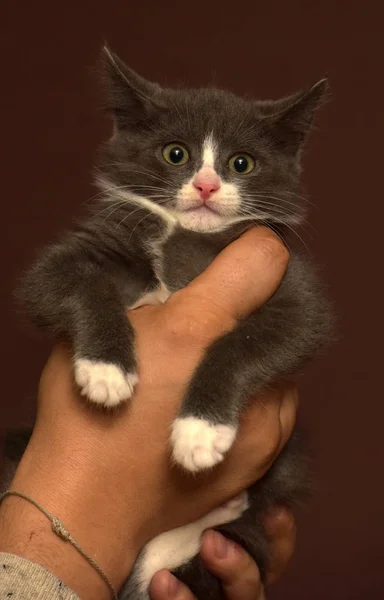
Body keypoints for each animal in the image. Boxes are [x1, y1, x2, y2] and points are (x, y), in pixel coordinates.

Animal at [11, 48, 332, 600]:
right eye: (176, 154)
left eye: (241, 163)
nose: (206, 185)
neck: (185, 240)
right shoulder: (84, 249)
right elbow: (68, 283)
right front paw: (106, 369)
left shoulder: (294, 286)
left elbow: (254, 339)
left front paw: (199, 430)